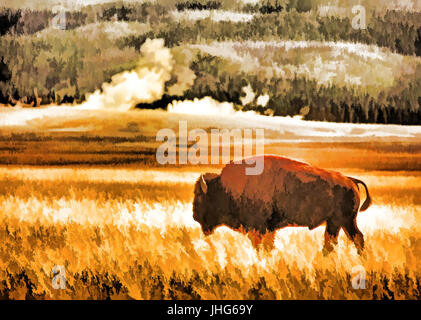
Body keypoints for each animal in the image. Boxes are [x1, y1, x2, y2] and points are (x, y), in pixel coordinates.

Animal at [194, 154, 370, 254]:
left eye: (199, 196)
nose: (194, 216)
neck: (226, 187)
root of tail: (350, 180)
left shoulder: (257, 228)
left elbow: (260, 246)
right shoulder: (268, 229)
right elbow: (268, 245)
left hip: (339, 221)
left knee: (343, 240)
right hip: (342, 222)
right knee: (350, 239)